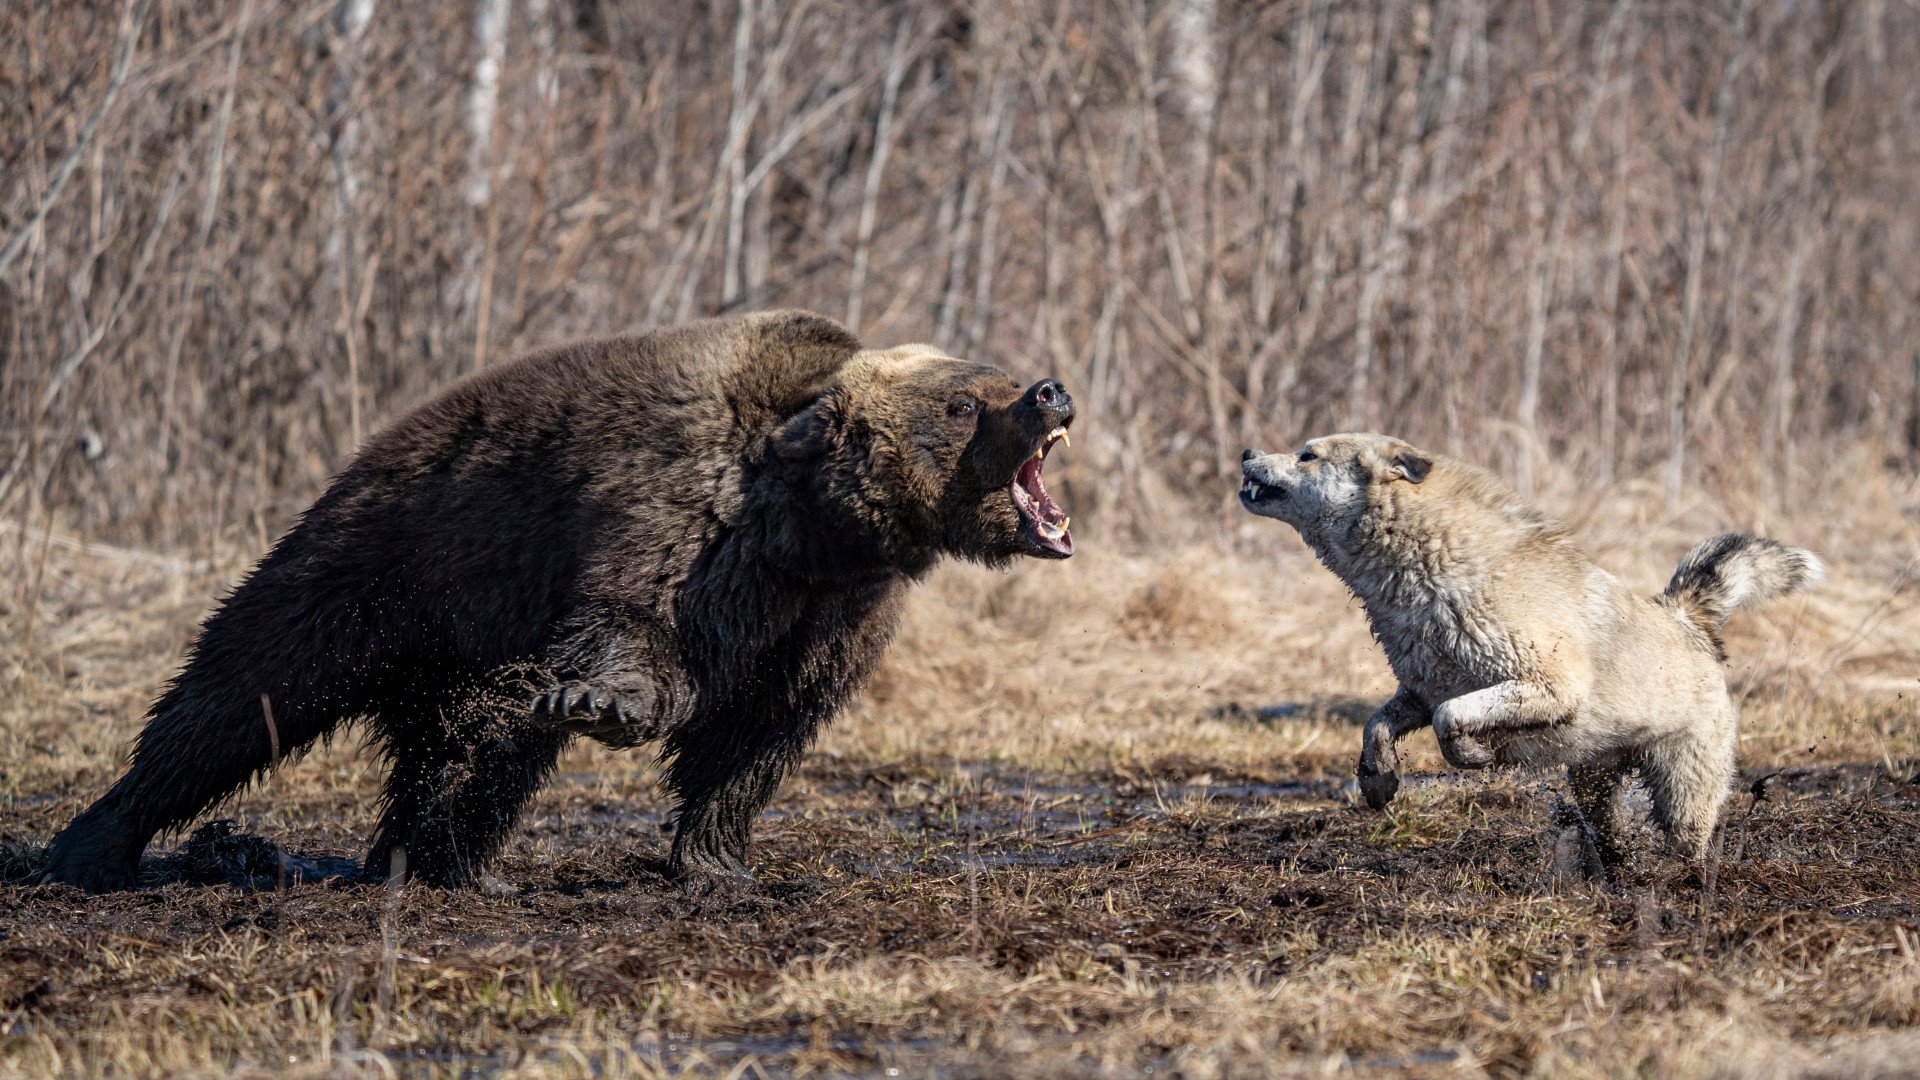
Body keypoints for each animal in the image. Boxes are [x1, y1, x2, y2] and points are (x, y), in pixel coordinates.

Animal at [41, 311, 1082, 891]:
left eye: (992, 376)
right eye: (962, 403)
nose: (1050, 391)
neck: (815, 528)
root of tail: (365, 454)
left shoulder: (832, 613)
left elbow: (760, 731)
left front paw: (721, 863)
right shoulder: (681, 520)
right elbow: (634, 632)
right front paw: (605, 703)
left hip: (461, 634)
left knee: (468, 745)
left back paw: (432, 859)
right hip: (382, 567)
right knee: (242, 693)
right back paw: (95, 844)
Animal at [1236, 432, 1820, 860]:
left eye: (1308, 453)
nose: (1245, 453)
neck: (1430, 572)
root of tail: (1686, 616)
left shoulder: (1545, 685)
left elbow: (1452, 719)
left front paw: (1473, 754)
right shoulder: (1420, 689)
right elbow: (1376, 725)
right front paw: (1377, 782)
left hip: (1683, 787)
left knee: (1688, 836)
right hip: (1593, 779)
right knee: (1608, 828)